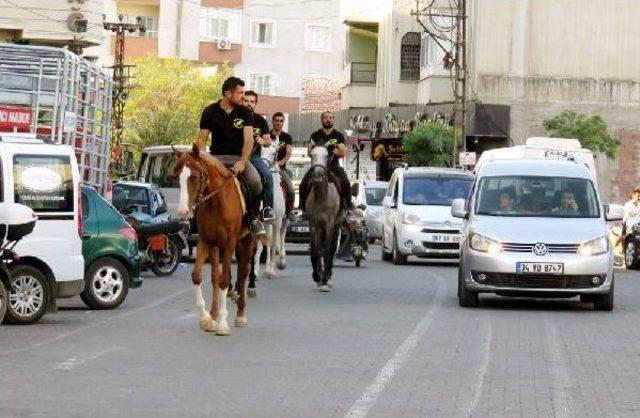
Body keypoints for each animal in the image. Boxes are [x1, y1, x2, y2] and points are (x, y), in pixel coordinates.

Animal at [175, 145, 258, 334]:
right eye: (178, 177)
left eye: (194, 176)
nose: (183, 211)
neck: (216, 202)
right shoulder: (205, 241)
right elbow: (199, 276)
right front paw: (207, 318)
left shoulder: (229, 243)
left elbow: (225, 279)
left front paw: (222, 323)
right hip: (216, 247)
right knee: (216, 276)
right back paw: (214, 313)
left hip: (247, 239)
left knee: (243, 272)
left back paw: (240, 315)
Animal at [306, 149, 342, 292]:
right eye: (312, 155)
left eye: (327, 156)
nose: (318, 175)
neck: (321, 197)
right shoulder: (314, 226)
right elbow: (316, 251)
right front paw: (317, 277)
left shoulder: (330, 225)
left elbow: (327, 250)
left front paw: (325, 279)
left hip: (336, 227)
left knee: (332, 249)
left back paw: (328, 275)